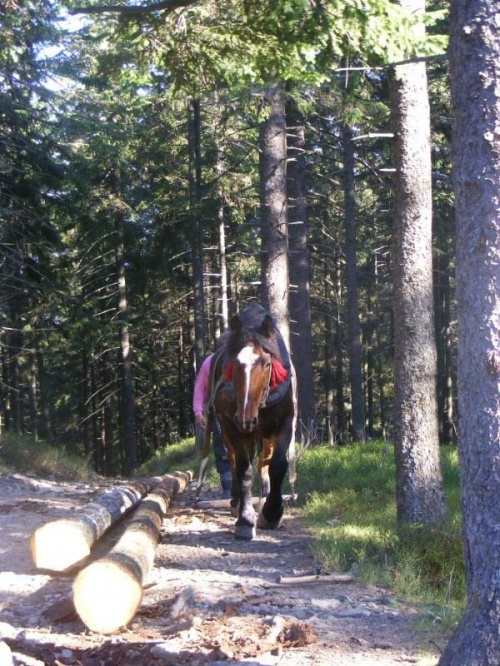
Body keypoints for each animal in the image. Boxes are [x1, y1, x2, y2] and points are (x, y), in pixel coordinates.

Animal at [195, 304, 296, 536]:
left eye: (266, 364)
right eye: (234, 363)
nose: (246, 419)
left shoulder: (285, 423)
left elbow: (277, 465)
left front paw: (272, 512)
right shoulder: (231, 426)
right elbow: (243, 469)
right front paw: (245, 518)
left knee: (264, 463)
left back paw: (263, 499)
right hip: (228, 430)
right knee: (234, 462)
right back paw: (236, 502)